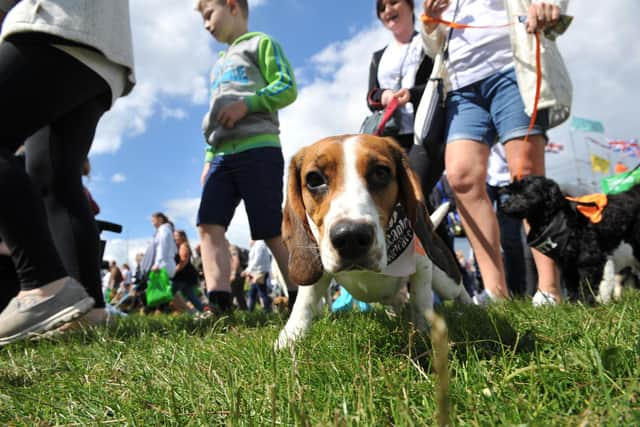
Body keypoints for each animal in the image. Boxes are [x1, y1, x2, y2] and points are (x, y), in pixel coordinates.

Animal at [276, 135, 470, 350]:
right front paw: (289, 338)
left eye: (380, 172)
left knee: (459, 290)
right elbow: (304, 303)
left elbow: (421, 302)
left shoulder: (423, 266)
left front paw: (423, 333)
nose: (350, 237)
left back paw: (471, 308)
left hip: (445, 281)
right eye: (314, 179)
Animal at [500, 175, 640, 300]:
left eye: (524, 194)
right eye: (511, 193)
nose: (503, 206)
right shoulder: (568, 264)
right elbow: (573, 286)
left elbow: (589, 284)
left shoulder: (591, 260)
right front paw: (576, 304)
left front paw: (589, 304)